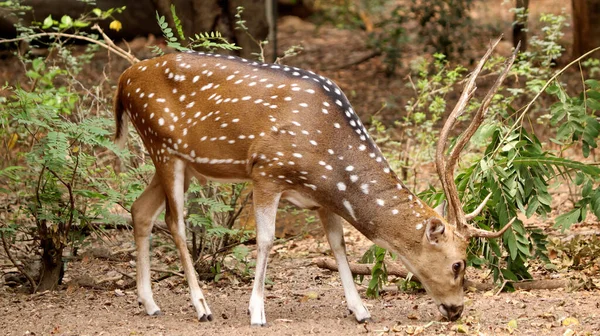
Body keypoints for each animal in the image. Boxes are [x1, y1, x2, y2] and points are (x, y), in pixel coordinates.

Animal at [115, 38, 516, 324]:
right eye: (458, 264)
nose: (456, 310)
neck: (327, 157)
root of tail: (124, 80)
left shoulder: (323, 197)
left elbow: (338, 245)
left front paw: (360, 309)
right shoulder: (266, 171)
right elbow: (266, 240)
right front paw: (257, 311)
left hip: (177, 161)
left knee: (140, 210)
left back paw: (149, 303)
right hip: (162, 146)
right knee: (175, 222)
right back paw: (202, 307)